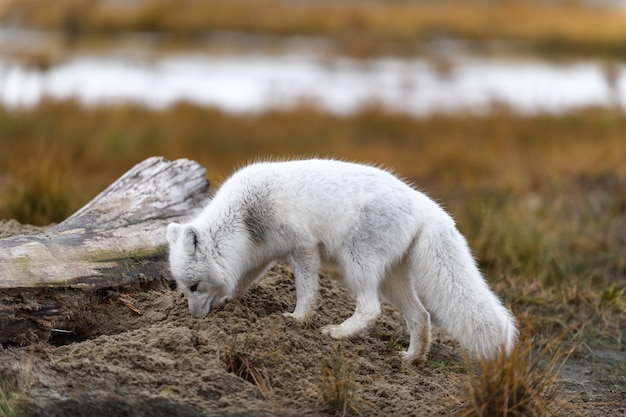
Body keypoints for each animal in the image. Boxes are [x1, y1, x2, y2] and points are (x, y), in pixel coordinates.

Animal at [163, 159, 516, 360]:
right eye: (185, 288)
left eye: (193, 286)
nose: (193, 318)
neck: (246, 218)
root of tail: (424, 204)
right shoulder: (261, 256)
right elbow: (241, 283)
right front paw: (229, 301)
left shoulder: (303, 246)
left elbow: (306, 290)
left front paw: (298, 319)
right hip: (392, 280)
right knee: (421, 315)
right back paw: (412, 358)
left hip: (355, 264)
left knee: (372, 309)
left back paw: (339, 333)